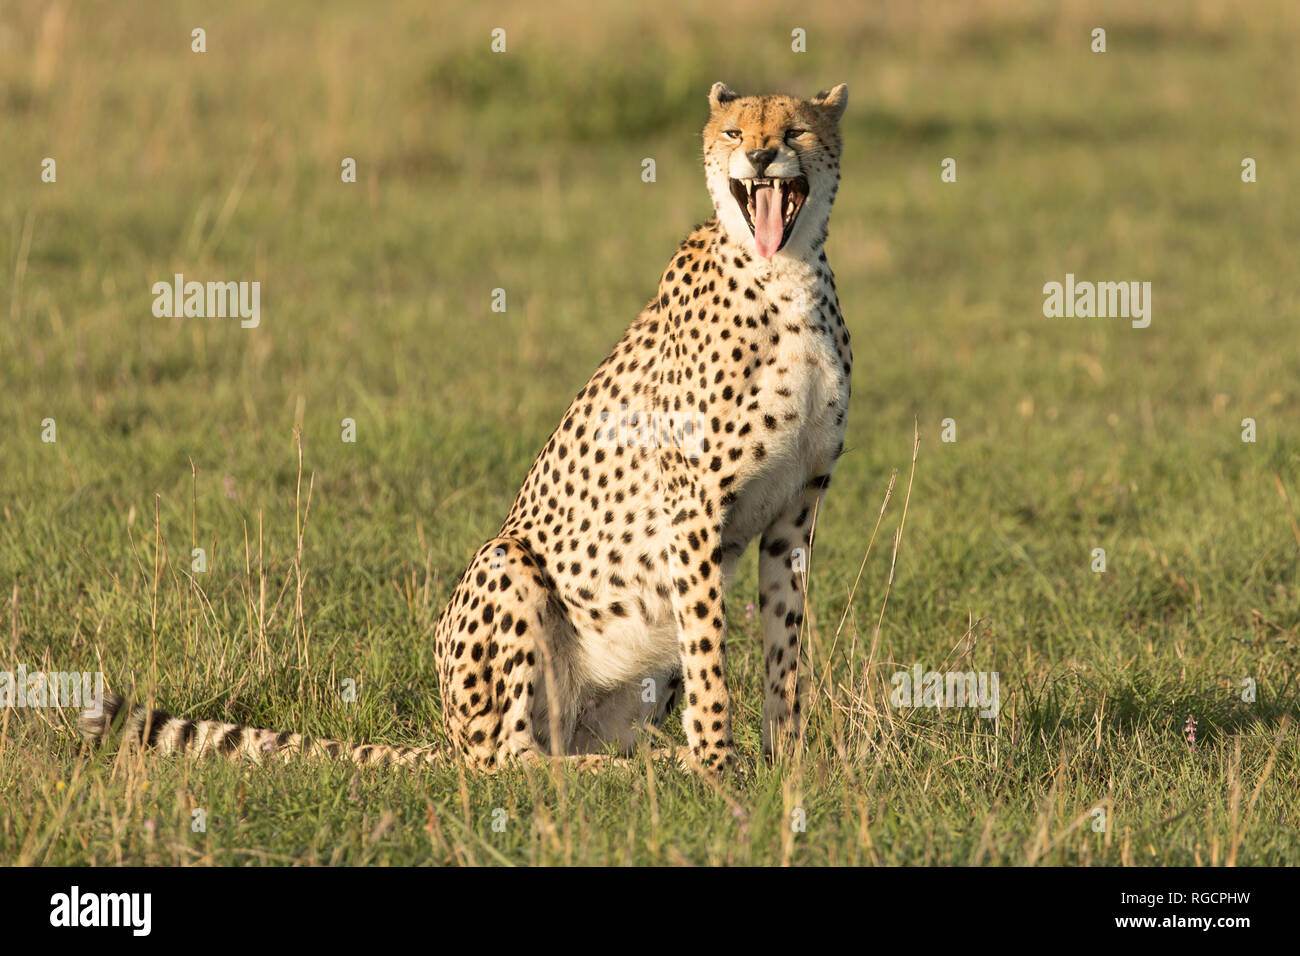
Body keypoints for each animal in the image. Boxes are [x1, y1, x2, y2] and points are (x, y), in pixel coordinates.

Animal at [81, 78, 852, 775]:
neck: (785, 278)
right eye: (734, 131)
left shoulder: (796, 508)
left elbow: (783, 646)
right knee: (509, 759)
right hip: (507, 563)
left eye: (794, 132)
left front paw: (788, 763)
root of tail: (448, 738)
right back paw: (622, 773)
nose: (758, 157)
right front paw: (718, 768)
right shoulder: (691, 505)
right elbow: (712, 655)